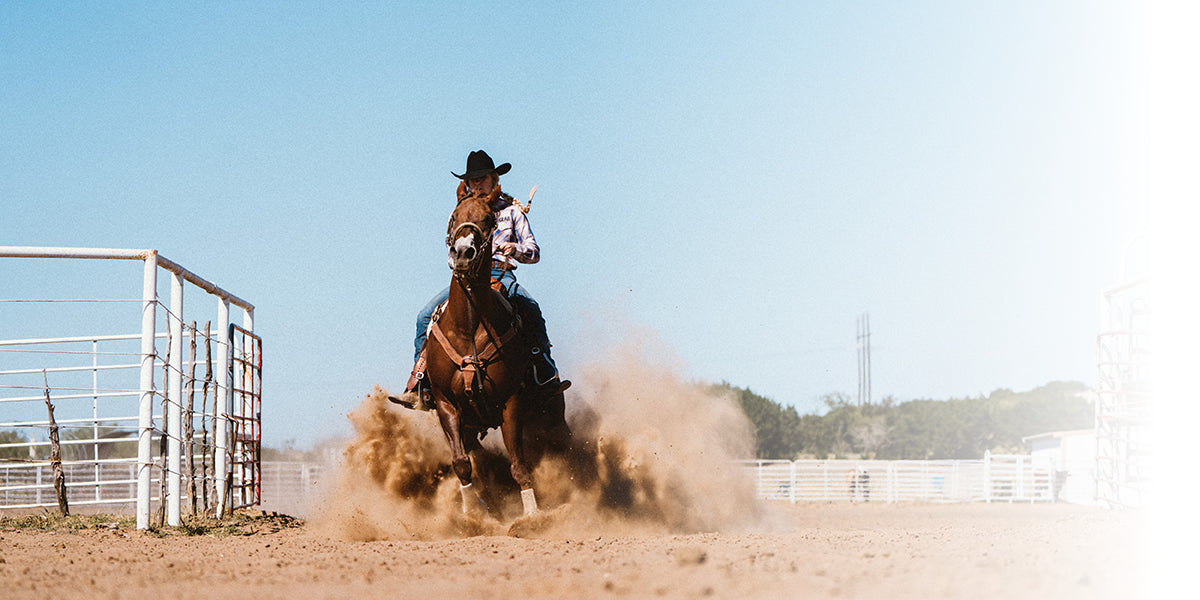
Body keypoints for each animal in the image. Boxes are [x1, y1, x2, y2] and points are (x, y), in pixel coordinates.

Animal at [424, 187, 568, 516]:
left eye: (489, 219)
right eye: (454, 216)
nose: (462, 253)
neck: (468, 327)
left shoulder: (511, 400)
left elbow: (519, 465)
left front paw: (531, 514)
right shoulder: (445, 403)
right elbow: (462, 464)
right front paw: (472, 515)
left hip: (553, 410)